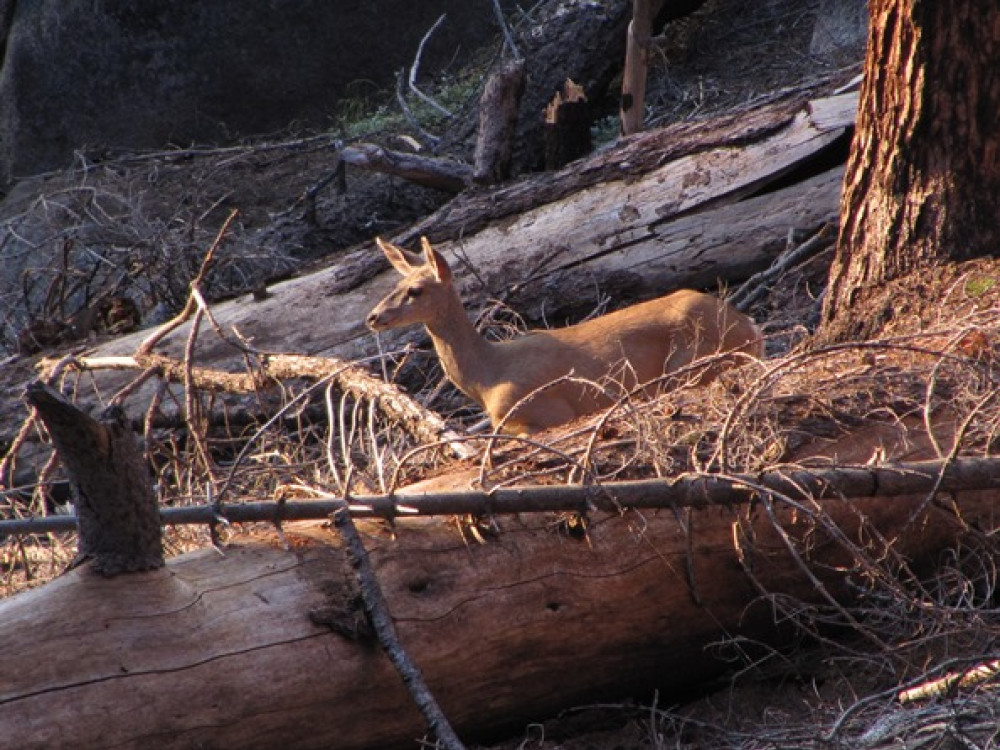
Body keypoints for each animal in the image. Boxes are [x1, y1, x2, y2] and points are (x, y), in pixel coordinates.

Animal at [368, 235, 764, 434]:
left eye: (415, 290)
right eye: (395, 285)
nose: (372, 317)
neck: (487, 378)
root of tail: (751, 326)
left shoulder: (546, 411)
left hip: (690, 363)